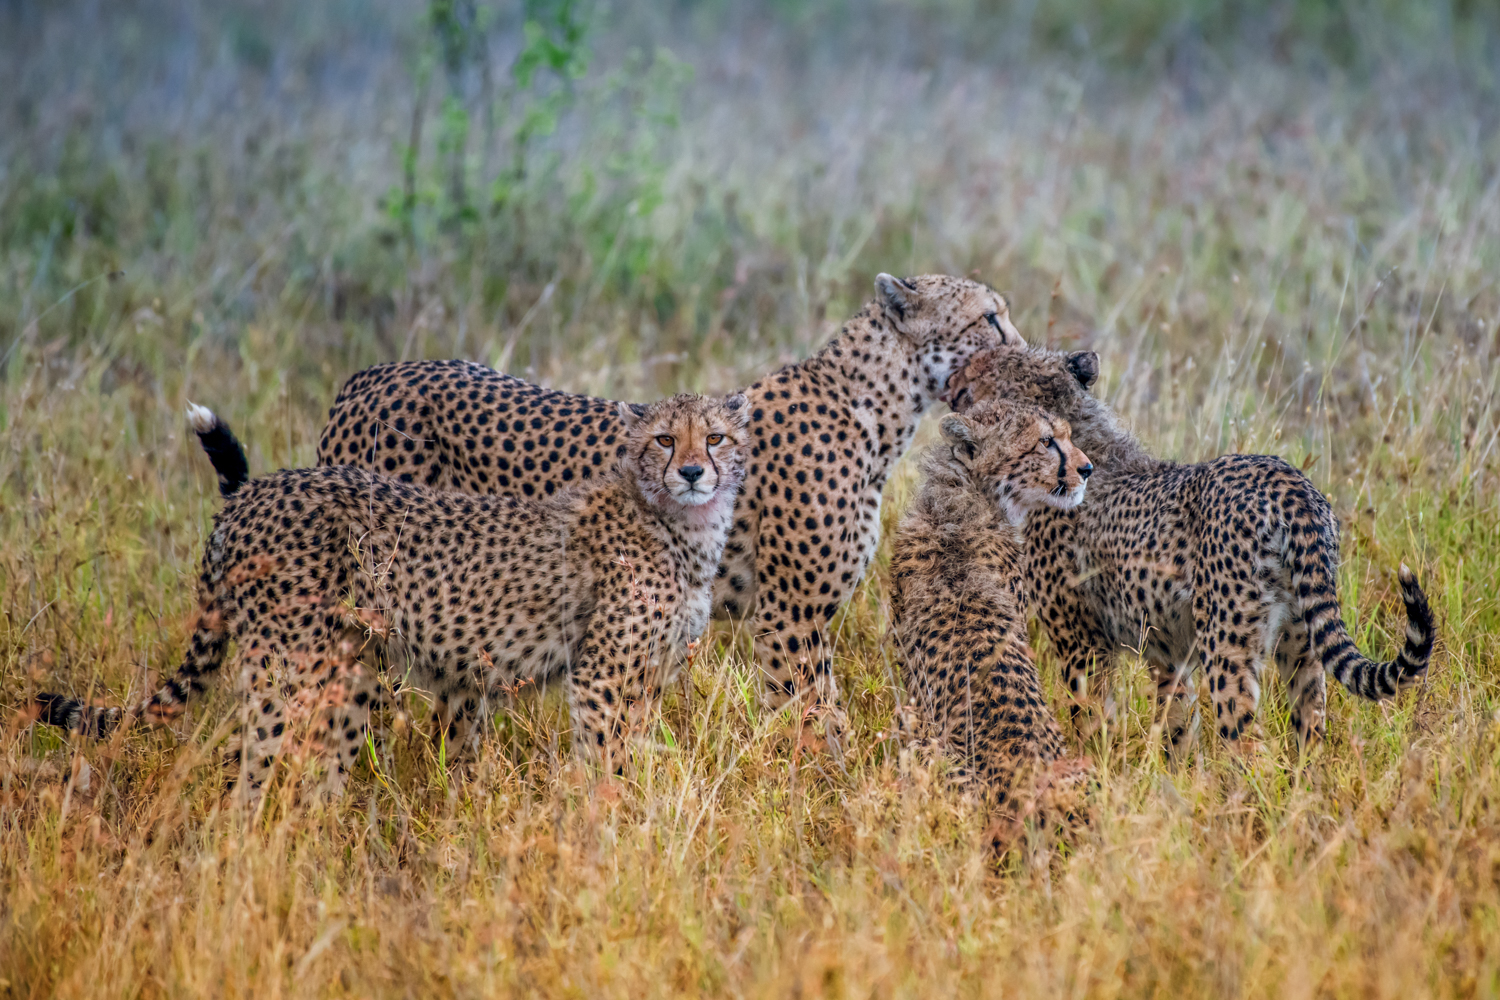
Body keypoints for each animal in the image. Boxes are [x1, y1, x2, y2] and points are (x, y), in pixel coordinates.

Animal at [38, 389, 750, 797]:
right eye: (665, 439)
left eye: (715, 437)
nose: (693, 471)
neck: (683, 525)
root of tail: (252, 493)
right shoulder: (602, 677)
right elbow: (610, 766)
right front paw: (612, 835)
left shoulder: (645, 679)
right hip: (287, 667)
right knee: (249, 765)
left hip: (347, 672)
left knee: (318, 775)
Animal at [310, 274, 1026, 734]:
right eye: (989, 318)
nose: (1032, 352)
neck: (878, 408)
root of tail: (366, 378)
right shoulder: (790, 619)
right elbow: (814, 723)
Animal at [942, 346, 1434, 758]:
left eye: (981, 368)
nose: (950, 386)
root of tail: (1287, 479)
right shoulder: (1170, 652)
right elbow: (1177, 723)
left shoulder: (1081, 644)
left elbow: (1093, 722)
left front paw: (1095, 776)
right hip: (1301, 644)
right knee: (1310, 732)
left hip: (1229, 645)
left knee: (1248, 745)